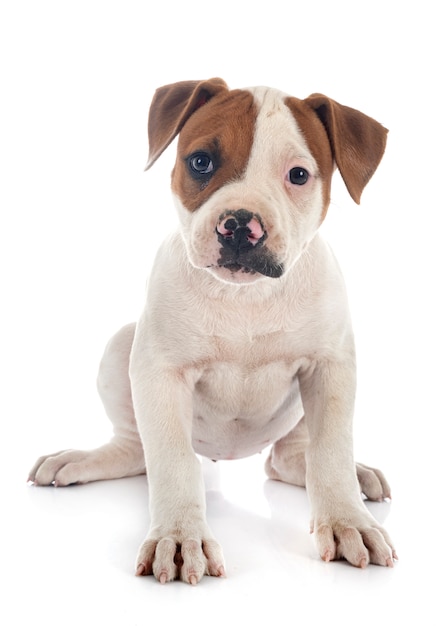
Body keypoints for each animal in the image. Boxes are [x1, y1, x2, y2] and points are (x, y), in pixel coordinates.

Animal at [29, 79, 398, 584]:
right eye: (201, 161)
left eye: (299, 175)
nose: (241, 225)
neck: (246, 299)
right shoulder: (159, 373)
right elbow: (173, 461)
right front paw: (179, 536)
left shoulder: (331, 367)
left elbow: (331, 453)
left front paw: (347, 522)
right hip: (122, 345)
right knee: (138, 449)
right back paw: (82, 459)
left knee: (290, 459)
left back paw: (350, 475)